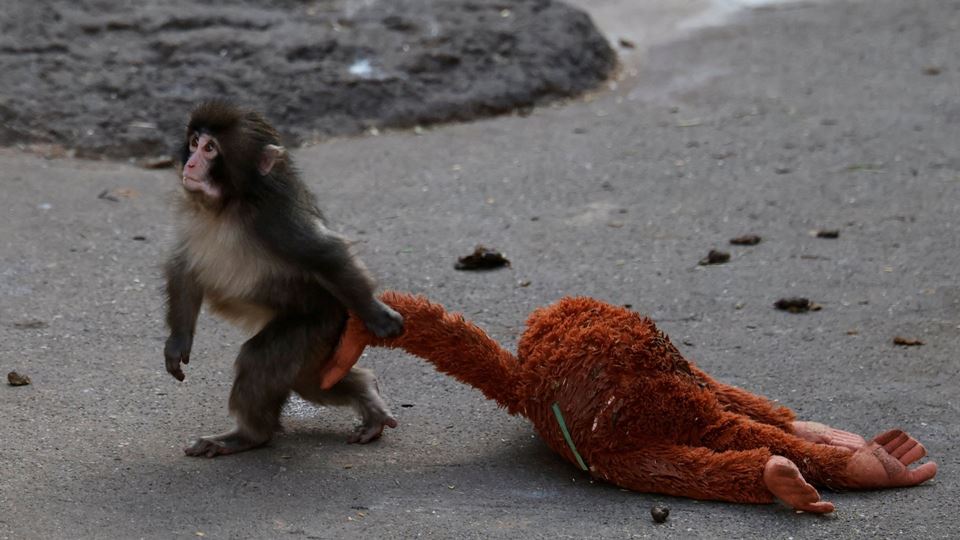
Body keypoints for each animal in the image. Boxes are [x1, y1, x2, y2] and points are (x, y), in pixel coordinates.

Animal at [163, 100, 404, 457]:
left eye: (210, 149)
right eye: (194, 142)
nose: (191, 163)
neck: (228, 205)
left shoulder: (276, 220)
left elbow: (326, 254)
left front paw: (377, 315)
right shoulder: (190, 212)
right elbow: (184, 267)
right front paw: (178, 341)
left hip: (317, 323)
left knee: (261, 360)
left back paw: (249, 435)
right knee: (312, 381)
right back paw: (367, 393)